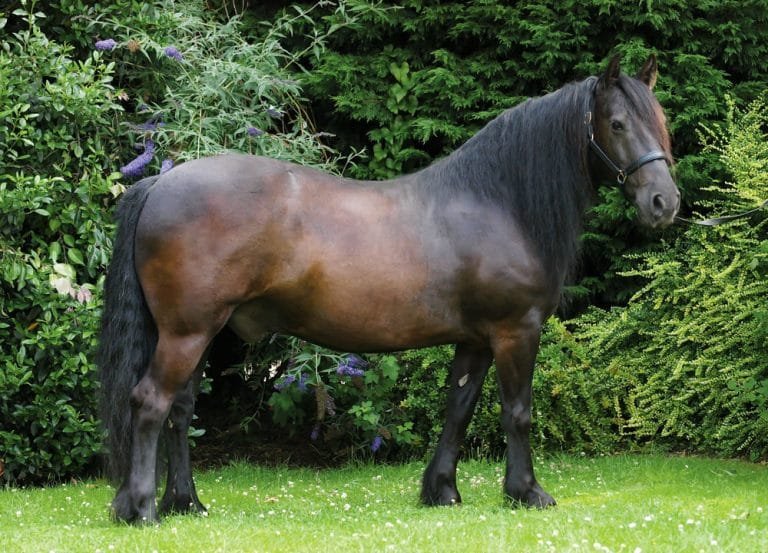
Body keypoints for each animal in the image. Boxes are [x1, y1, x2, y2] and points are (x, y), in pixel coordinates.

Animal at [98, 55, 680, 524]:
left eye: (662, 123)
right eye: (617, 123)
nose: (664, 202)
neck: (497, 203)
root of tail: (161, 183)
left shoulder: (475, 339)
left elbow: (458, 408)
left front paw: (441, 491)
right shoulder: (516, 330)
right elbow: (517, 411)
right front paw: (527, 493)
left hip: (199, 334)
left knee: (180, 410)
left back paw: (186, 503)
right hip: (187, 332)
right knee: (150, 403)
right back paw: (143, 509)